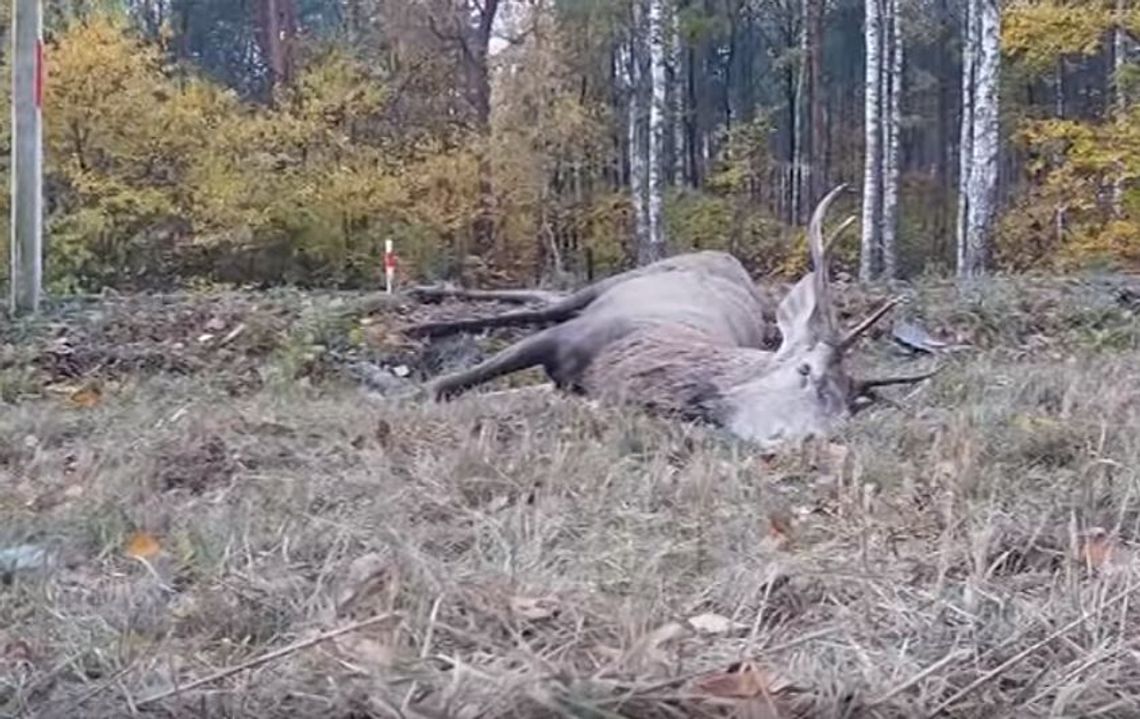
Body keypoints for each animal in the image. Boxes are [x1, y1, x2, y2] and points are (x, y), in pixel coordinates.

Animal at [408, 184, 934, 444]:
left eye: (849, 410)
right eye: (806, 370)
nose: (809, 438)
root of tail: (728, 257)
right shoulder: (569, 337)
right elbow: (446, 384)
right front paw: (414, 392)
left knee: (540, 298)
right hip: (618, 281)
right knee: (547, 301)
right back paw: (425, 310)